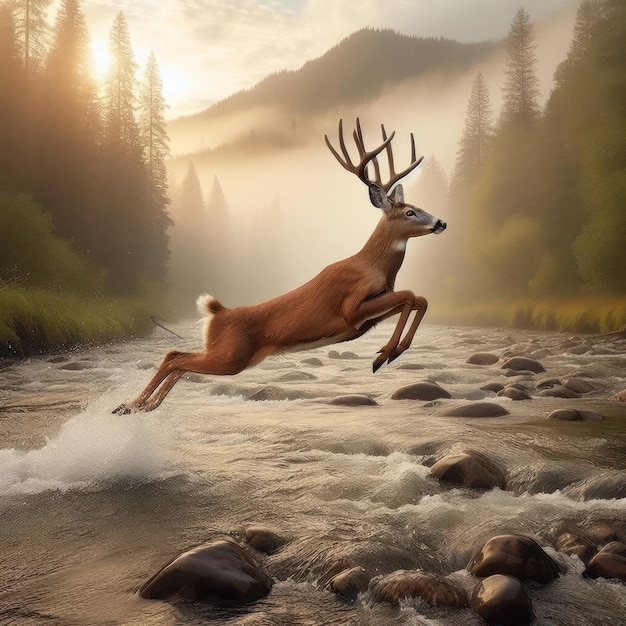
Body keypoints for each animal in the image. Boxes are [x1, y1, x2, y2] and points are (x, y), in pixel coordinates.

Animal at [112, 118, 444, 414]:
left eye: (418, 207)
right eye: (410, 212)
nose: (441, 222)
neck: (373, 266)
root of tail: (216, 311)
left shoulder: (370, 314)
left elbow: (420, 298)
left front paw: (391, 351)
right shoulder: (351, 309)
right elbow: (411, 295)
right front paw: (384, 355)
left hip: (225, 355)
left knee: (177, 357)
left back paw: (140, 407)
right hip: (230, 356)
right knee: (175, 357)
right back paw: (129, 405)